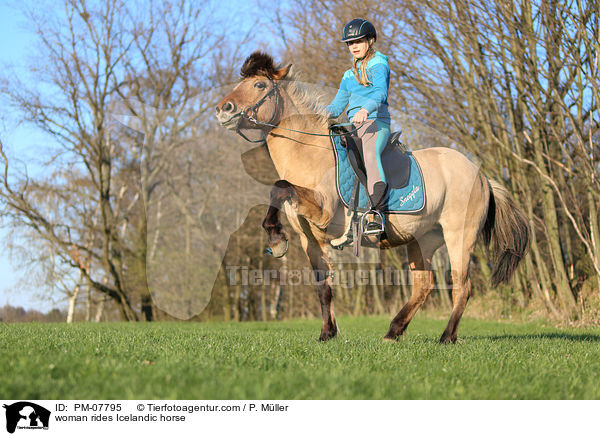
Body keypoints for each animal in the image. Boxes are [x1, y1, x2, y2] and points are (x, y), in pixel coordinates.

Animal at [217, 52, 528, 344]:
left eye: (259, 84)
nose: (223, 110)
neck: (309, 152)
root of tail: (481, 176)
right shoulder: (312, 240)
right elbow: (323, 287)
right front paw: (327, 333)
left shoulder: (324, 213)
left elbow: (279, 187)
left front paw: (276, 238)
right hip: (423, 240)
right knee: (423, 286)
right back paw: (393, 331)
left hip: (459, 236)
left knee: (462, 287)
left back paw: (446, 337)